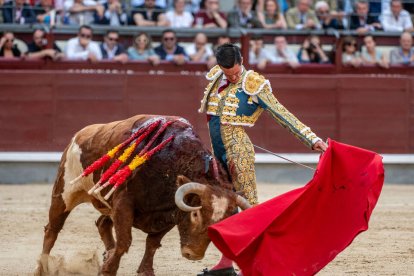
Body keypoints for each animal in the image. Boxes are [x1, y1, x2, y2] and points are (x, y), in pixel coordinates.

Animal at [35, 114, 249, 276]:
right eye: (195, 214)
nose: (193, 255)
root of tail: (80, 134)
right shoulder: (123, 203)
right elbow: (124, 241)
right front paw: (108, 270)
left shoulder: (169, 212)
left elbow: (152, 242)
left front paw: (145, 270)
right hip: (64, 192)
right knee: (52, 230)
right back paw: (42, 268)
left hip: (106, 202)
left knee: (102, 223)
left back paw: (107, 252)